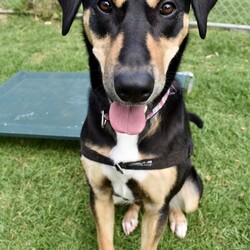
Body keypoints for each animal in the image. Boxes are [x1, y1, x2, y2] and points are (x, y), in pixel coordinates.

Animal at [58, 0, 217, 249]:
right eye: (105, 5)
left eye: (167, 8)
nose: (133, 89)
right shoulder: (99, 194)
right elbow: (104, 240)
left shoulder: (156, 207)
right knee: (134, 201)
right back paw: (131, 217)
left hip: (191, 192)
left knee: (176, 202)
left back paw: (178, 219)